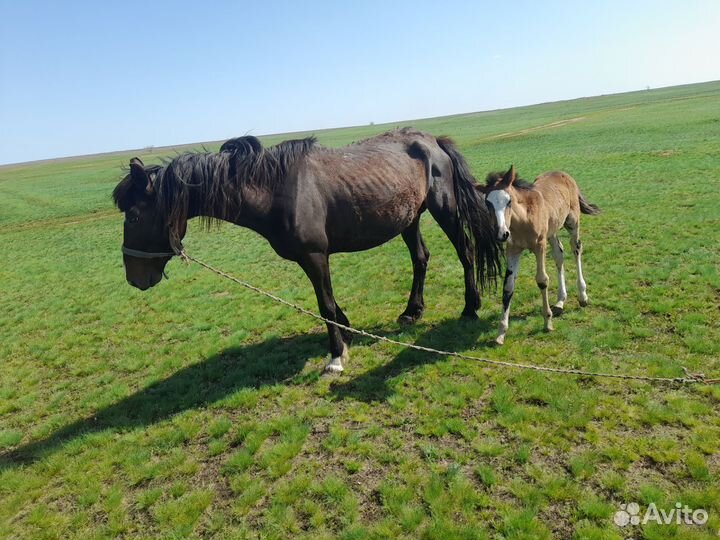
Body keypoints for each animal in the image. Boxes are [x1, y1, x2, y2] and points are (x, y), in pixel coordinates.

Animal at [113, 128, 502, 372]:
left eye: (133, 216)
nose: (134, 278)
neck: (274, 189)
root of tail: (432, 140)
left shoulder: (315, 256)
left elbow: (325, 304)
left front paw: (336, 356)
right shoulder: (311, 259)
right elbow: (330, 303)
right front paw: (347, 333)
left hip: (444, 209)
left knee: (466, 252)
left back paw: (470, 307)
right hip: (408, 218)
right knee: (420, 259)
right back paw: (412, 312)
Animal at [477, 166, 600, 345]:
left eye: (509, 201)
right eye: (488, 203)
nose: (501, 234)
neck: (523, 220)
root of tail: (563, 174)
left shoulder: (539, 246)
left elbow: (542, 280)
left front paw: (547, 323)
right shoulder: (513, 249)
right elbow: (508, 286)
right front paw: (501, 333)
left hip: (572, 222)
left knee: (576, 249)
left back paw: (582, 296)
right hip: (552, 230)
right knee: (559, 254)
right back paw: (560, 301)